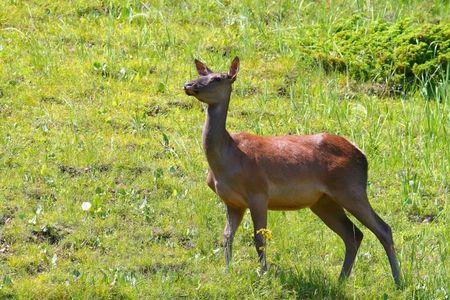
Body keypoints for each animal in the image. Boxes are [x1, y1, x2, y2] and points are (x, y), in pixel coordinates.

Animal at [183, 56, 400, 286]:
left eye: (217, 78)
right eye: (201, 74)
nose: (188, 85)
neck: (228, 161)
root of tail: (363, 156)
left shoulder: (258, 192)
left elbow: (259, 237)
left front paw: (263, 273)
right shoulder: (233, 202)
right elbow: (226, 237)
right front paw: (227, 271)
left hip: (351, 189)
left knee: (383, 228)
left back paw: (398, 280)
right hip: (323, 201)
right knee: (354, 234)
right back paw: (341, 280)